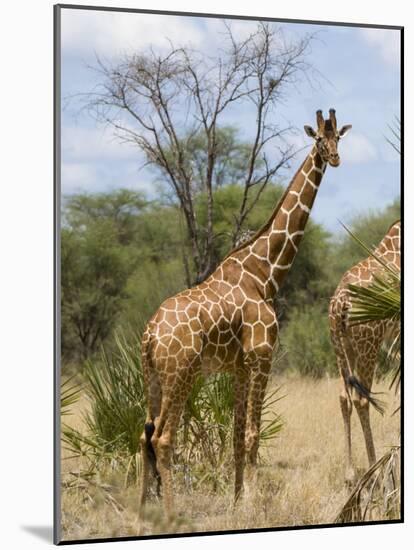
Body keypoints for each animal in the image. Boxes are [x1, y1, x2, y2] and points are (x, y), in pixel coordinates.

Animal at [140, 110, 352, 520]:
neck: (265, 272)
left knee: (143, 434)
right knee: (163, 437)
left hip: (153, 378)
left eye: (339, 138)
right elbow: (254, 432)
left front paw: (238, 499)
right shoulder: (262, 355)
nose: (334, 158)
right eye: (319, 139)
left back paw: (143, 512)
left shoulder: (239, 366)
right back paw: (171, 513)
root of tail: (150, 333)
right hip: (181, 374)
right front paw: (253, 503)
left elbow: (238, 433)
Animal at [328, 220, 400, 484]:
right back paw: (374, 470)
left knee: (344, 397)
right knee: (361, 399)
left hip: (342, 347)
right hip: (368, 345)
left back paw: (350, 473)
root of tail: (339, 304)